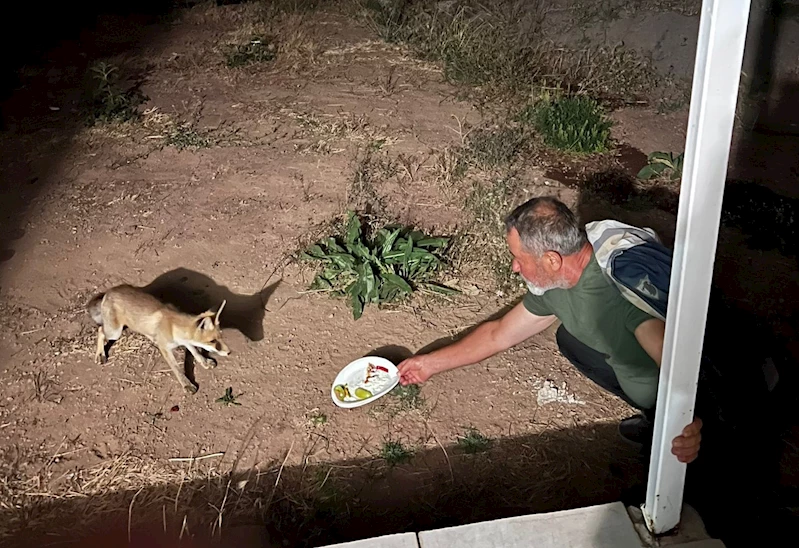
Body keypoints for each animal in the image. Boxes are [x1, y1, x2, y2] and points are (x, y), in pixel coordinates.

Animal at [88, 286, 231, 394]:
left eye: (220, 337)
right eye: (212, 341)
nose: (229, 352)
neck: (174, 326)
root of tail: (109, 291)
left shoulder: (184, 341)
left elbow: (195, 350)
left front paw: (205, 362)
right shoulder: (165, 348)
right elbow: (176, 368)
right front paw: (186, 384)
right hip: (115, 332)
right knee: (100, 331)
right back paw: (100, 354)